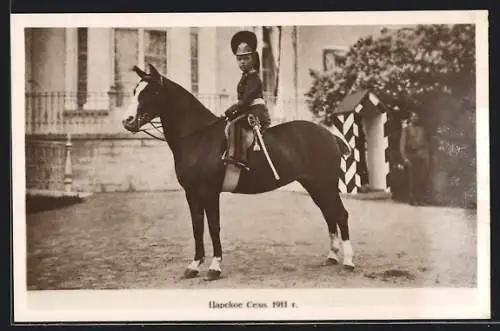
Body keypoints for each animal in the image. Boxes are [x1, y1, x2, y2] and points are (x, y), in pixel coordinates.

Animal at [121, 64, 356, 280]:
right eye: (135, 90)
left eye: (151, 92)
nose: (127, 121)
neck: (198, 136)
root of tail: (330, 135)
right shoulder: (192, 194)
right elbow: (197, 226)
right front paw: (194, 265)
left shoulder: (209, 192)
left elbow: (213, 226)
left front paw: (215, 267)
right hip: (315, 186)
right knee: (329, 214)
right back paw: (332, 257)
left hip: (325, 185)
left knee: (341, 215)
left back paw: (348, 261)